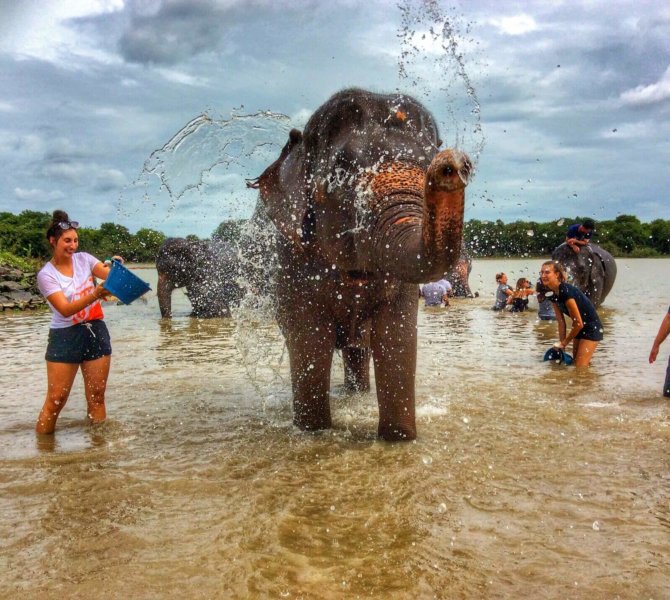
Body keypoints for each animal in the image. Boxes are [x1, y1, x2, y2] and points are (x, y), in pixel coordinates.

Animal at [248, 88, 472, 441]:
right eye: (343, 170)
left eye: (429, 162)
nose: (454, 164)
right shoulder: (291, 256)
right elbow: (309, 339)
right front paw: (314, 432)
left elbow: (397, 335)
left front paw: (398, 439)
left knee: (358, 350)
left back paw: (358, 395)